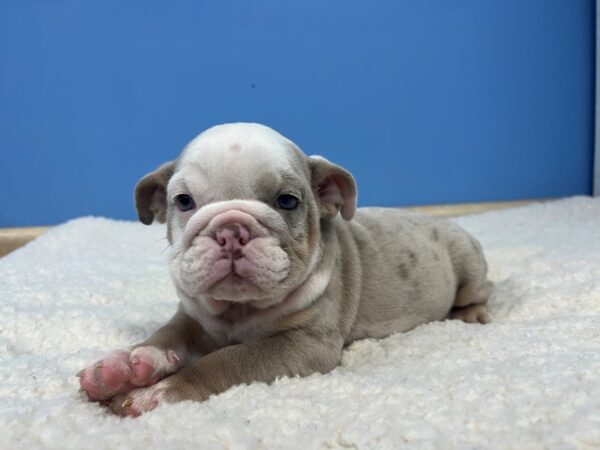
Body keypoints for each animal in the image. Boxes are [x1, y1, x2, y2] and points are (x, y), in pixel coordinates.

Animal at [78, 122, 492, 414]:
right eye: (183, 201)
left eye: (287, 201)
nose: (231, 231)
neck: (237, 311)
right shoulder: (192, 318)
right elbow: (166, 336)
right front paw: (124, 366)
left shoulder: (302, 346)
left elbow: (226, 360)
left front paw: (161, 392)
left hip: (469, 268)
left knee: (481, 291)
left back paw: (472, 314)